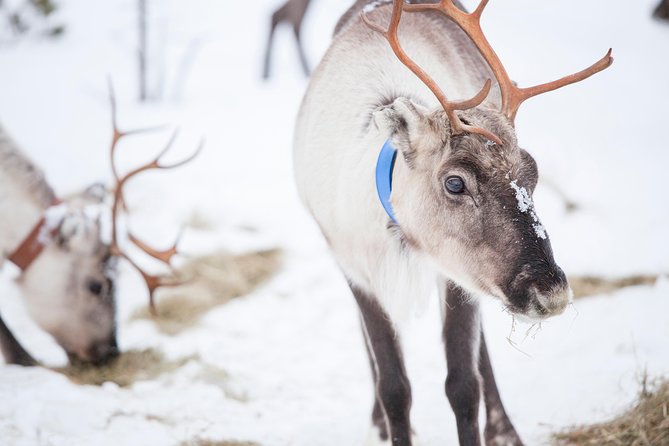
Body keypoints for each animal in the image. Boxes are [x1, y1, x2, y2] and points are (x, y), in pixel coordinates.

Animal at [293, 1, 612, 445]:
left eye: (532, 174)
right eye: (455, 182)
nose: (551, 293)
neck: (403, 235)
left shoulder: (457, 274)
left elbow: (463, 383)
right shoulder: (356, 269)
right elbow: (394, 388)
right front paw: (388, 420)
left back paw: (503, 430)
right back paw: (376, 421)